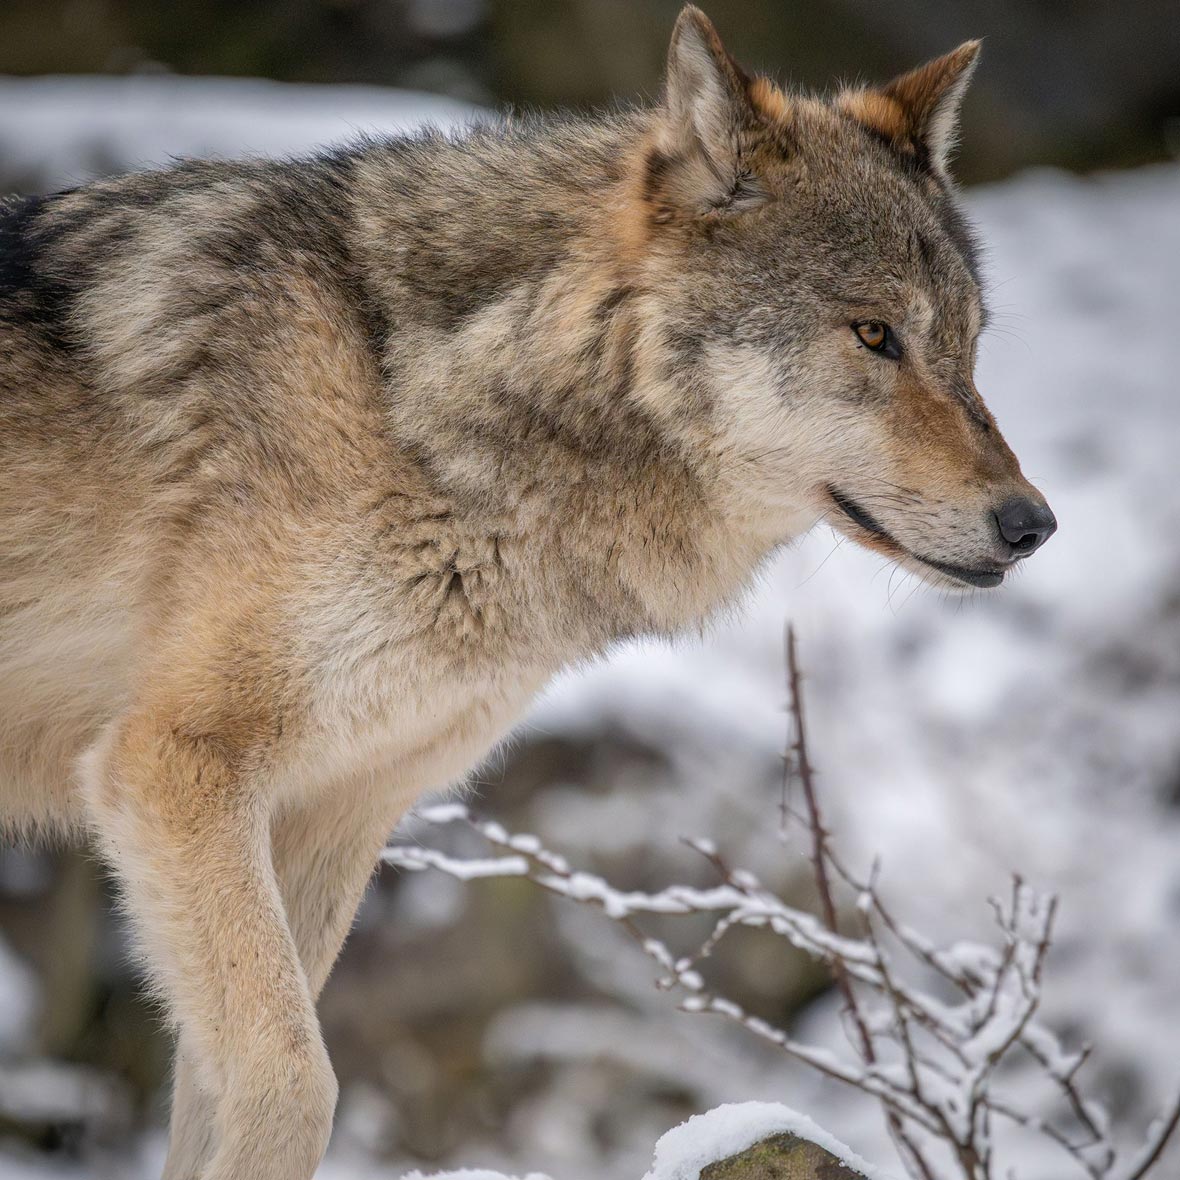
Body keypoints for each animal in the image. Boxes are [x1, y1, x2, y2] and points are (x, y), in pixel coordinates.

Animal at [0, 6, 1055, 1178]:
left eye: (967, 347)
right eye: (874, 334)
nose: (1032, 526)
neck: (411, 396)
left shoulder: (326, 818)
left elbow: (225, 1091)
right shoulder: (174, 767)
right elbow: (292, 1082)